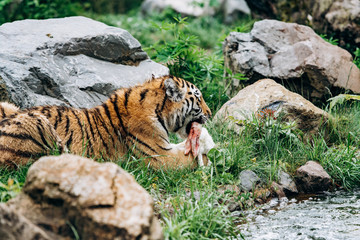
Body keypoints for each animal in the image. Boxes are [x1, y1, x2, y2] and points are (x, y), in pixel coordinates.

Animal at [0, 76, 214, 170]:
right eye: (198, 98)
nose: (210, 113)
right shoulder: (159, 156)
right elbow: (188, 158)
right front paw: (207, 157)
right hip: (37, 123)